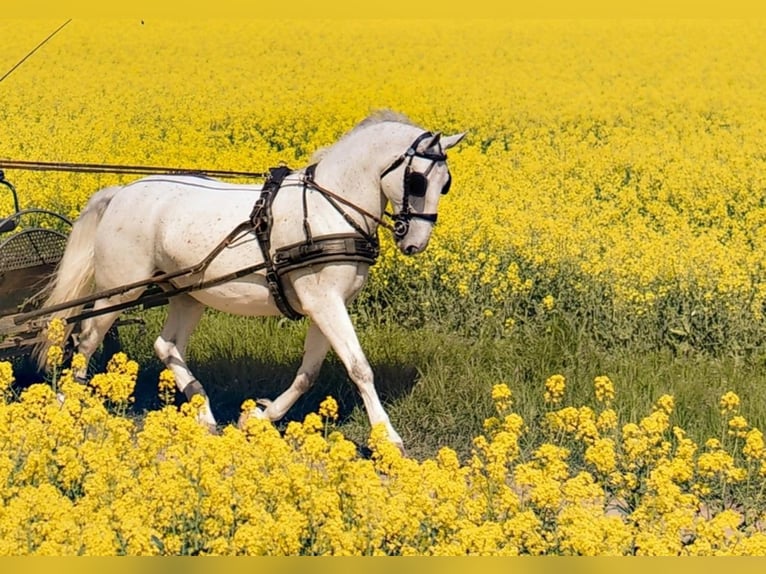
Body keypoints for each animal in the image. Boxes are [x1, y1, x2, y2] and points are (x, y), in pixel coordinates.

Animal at [34, 111, 468, 454]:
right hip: (122, 288)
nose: (414, 242)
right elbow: (359, 367)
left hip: (188, 294)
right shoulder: (323, 301)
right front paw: (388, 438)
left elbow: (309, 372)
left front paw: (259, 417)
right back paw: (68, 401)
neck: (330, 206)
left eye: (445, 184)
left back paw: (203, 409)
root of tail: (122, 191)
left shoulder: (325, 303)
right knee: (87, 338)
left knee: (166, 345)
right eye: (417, 180)